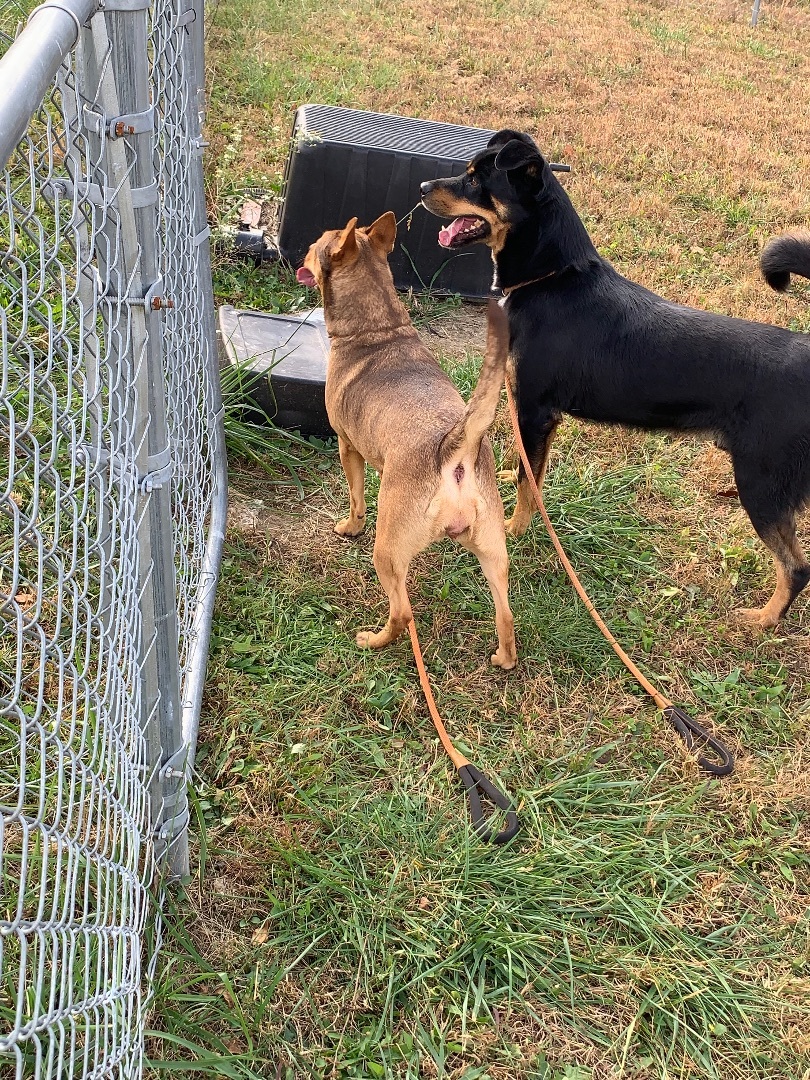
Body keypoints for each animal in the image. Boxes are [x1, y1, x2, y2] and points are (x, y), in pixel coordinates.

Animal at [295, 210, 516, 665]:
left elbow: (356, 498)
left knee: (402, 614)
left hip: (389, 553)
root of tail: (454, 451)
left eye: (314, 245)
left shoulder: (348, 447)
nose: (299, 256)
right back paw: (503, 658)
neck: (380, 328)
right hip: (494, 553)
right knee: (505, 616)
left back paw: (373, 641)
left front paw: (349, 527)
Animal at [421, 130, 810, 630]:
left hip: (761, 485)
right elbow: (530, 470)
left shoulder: (535, 410)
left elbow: (529, 485)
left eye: (474, 179)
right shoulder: (537, 415)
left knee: (796, 567)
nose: (423, 187)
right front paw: (509, 477)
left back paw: (761, 619)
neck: (551, 278)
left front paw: (512, 531)